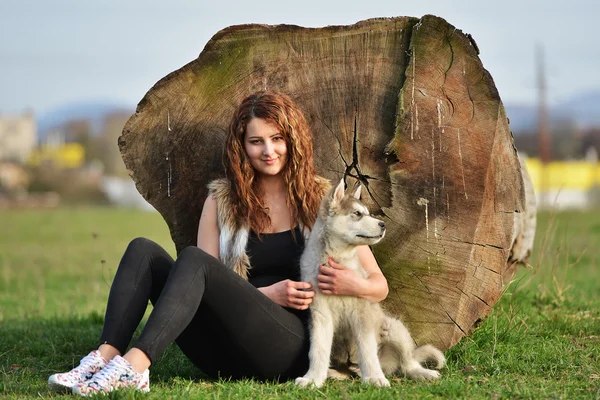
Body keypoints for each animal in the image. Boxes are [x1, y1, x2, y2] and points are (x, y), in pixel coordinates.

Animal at [296, 181, 446, 388]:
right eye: (357, 213)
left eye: (367, 212)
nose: (383, 224)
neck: (336, 258)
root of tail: (387, 363)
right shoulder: (320, 313)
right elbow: (318, 349)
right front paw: (312, 379)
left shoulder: (362, 312)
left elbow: (367, 349)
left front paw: (374, 378)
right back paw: (338, 373)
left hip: (394, 328)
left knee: (408, 363)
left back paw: (422, 373)